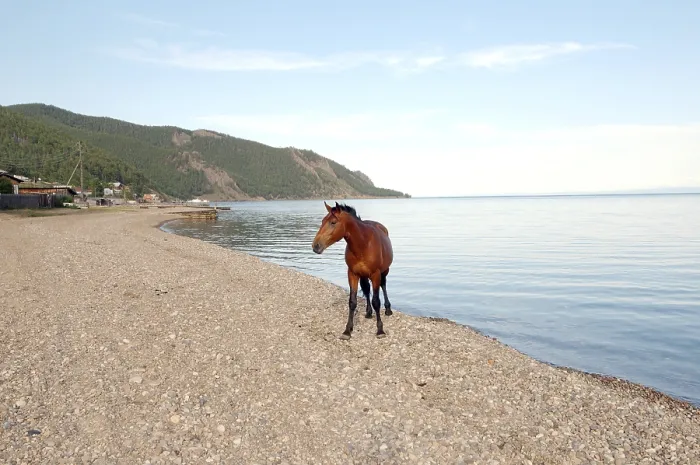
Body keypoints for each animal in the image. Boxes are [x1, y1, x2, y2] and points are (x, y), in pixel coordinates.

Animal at [312, 201, 394, 339]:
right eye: (322, 221)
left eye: (333, 222)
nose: (315, 246)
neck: (363, 244)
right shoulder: (353, 274)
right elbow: (352, 302)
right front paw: (347, 330)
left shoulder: (375, 274)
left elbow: (376, 301)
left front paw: (380, 330)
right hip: (364, 275)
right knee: (366, 290)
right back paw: (368, 312)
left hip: (384, 271)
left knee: (383, 285)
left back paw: (388, 309)